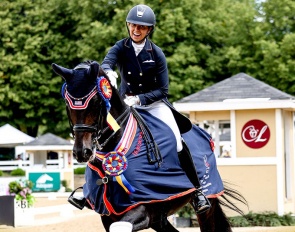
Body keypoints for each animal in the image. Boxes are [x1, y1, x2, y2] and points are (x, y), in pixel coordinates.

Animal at [51, 60, 247, 231]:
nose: (81, 152)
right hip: (159, 220)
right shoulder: (109, 216)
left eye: (96, 102)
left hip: (206, 204)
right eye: (67, 103)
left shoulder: (143, 207)